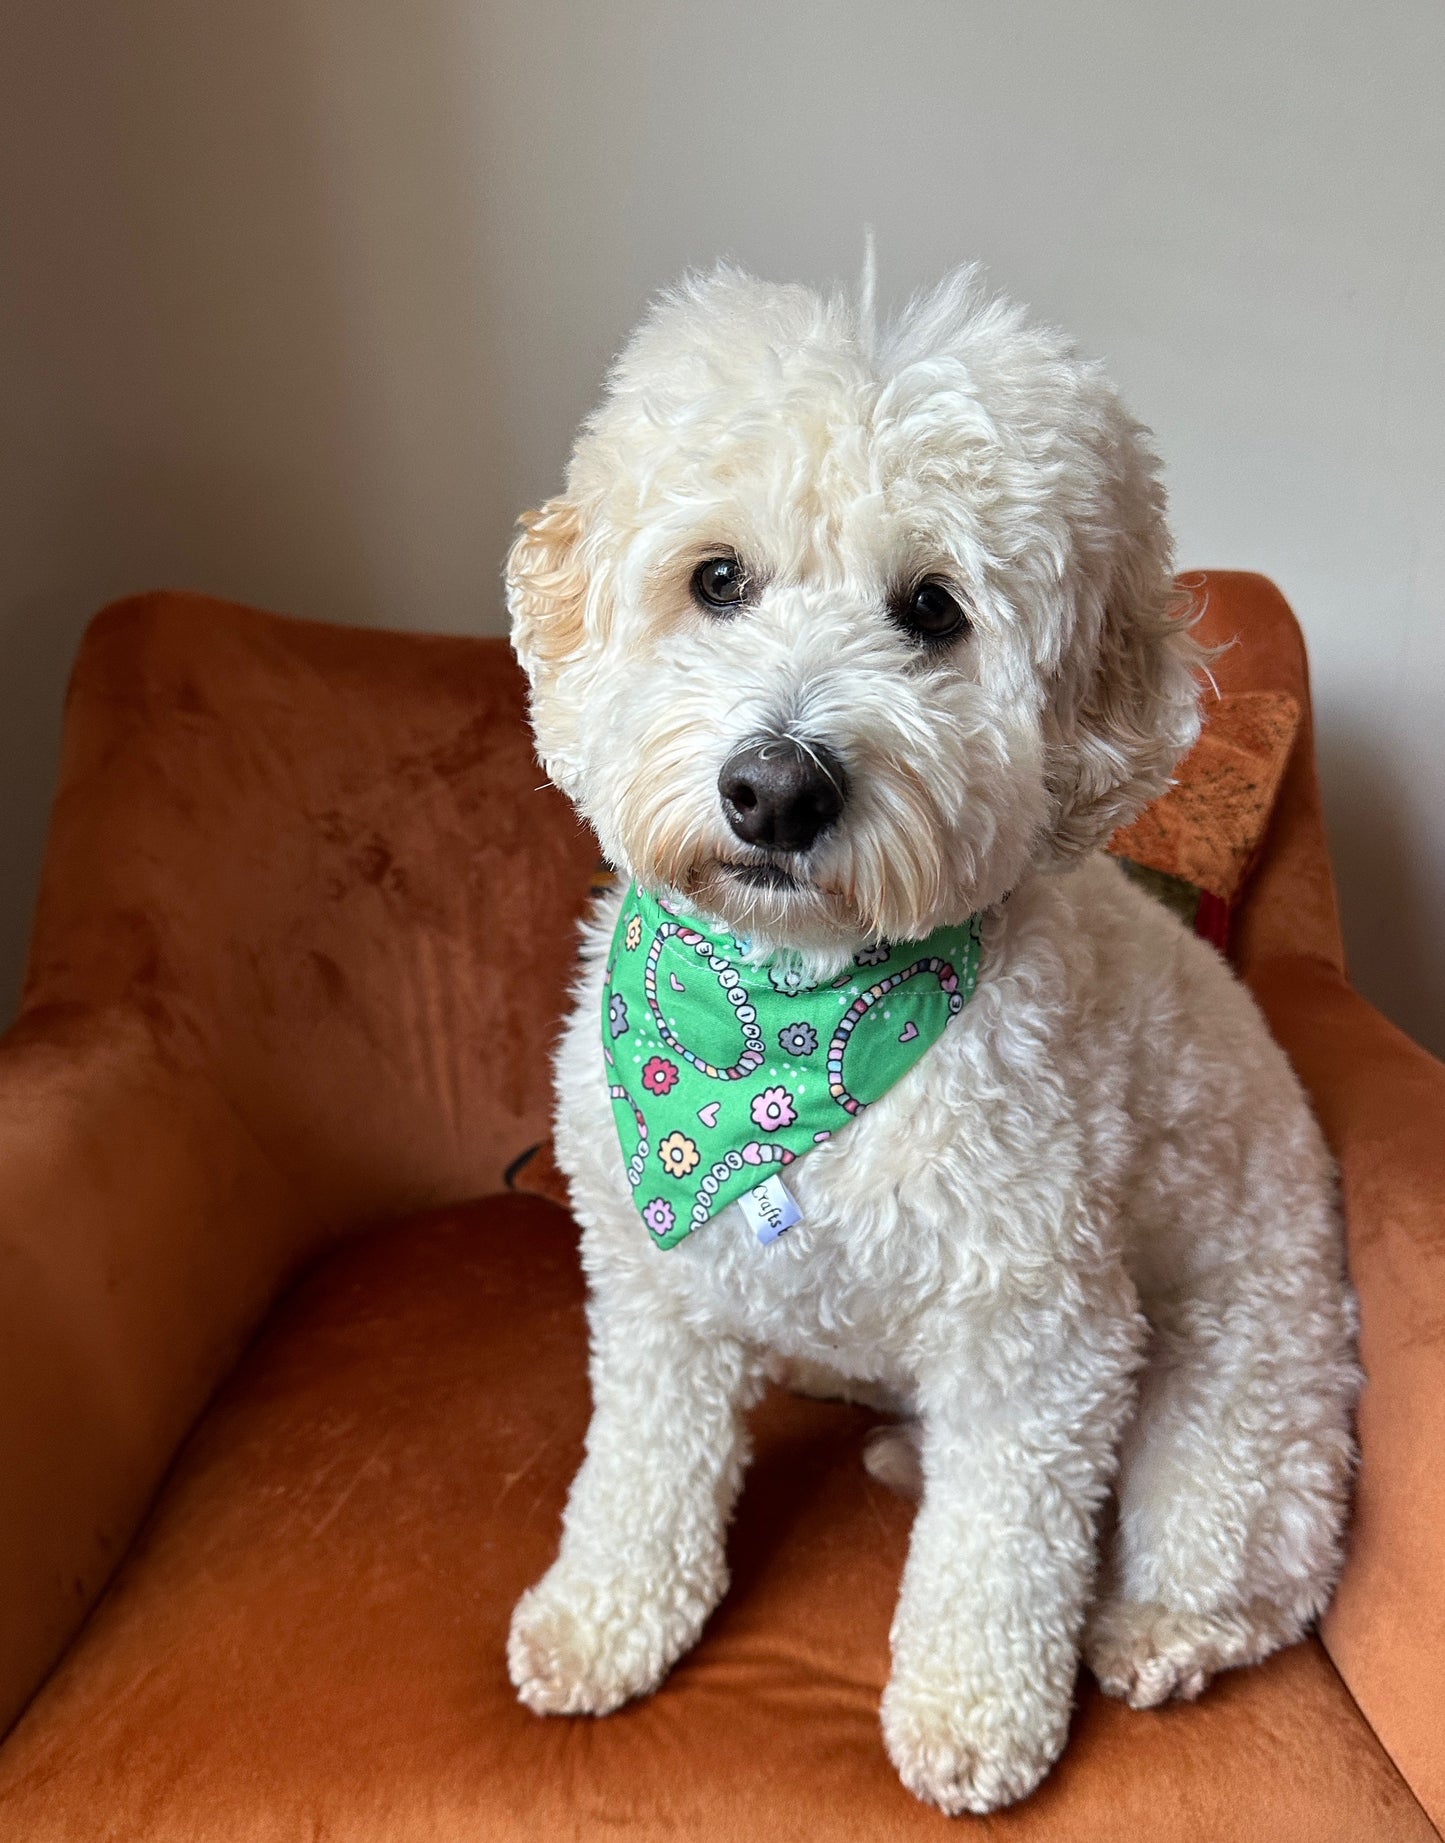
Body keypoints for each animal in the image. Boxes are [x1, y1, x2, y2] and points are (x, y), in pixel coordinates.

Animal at [501, 263, 1363, 1813]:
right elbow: (640, 1470)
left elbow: (1000, 1551)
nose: (776, 787)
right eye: (716, 578)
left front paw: (972, 1718)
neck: (781, 1030)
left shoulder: (1040, 1339)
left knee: (1247, 1564)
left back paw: (1158, 1632)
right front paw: (603, 1619)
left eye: (931, 610)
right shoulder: (657, 1293)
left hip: (1232, 1407)